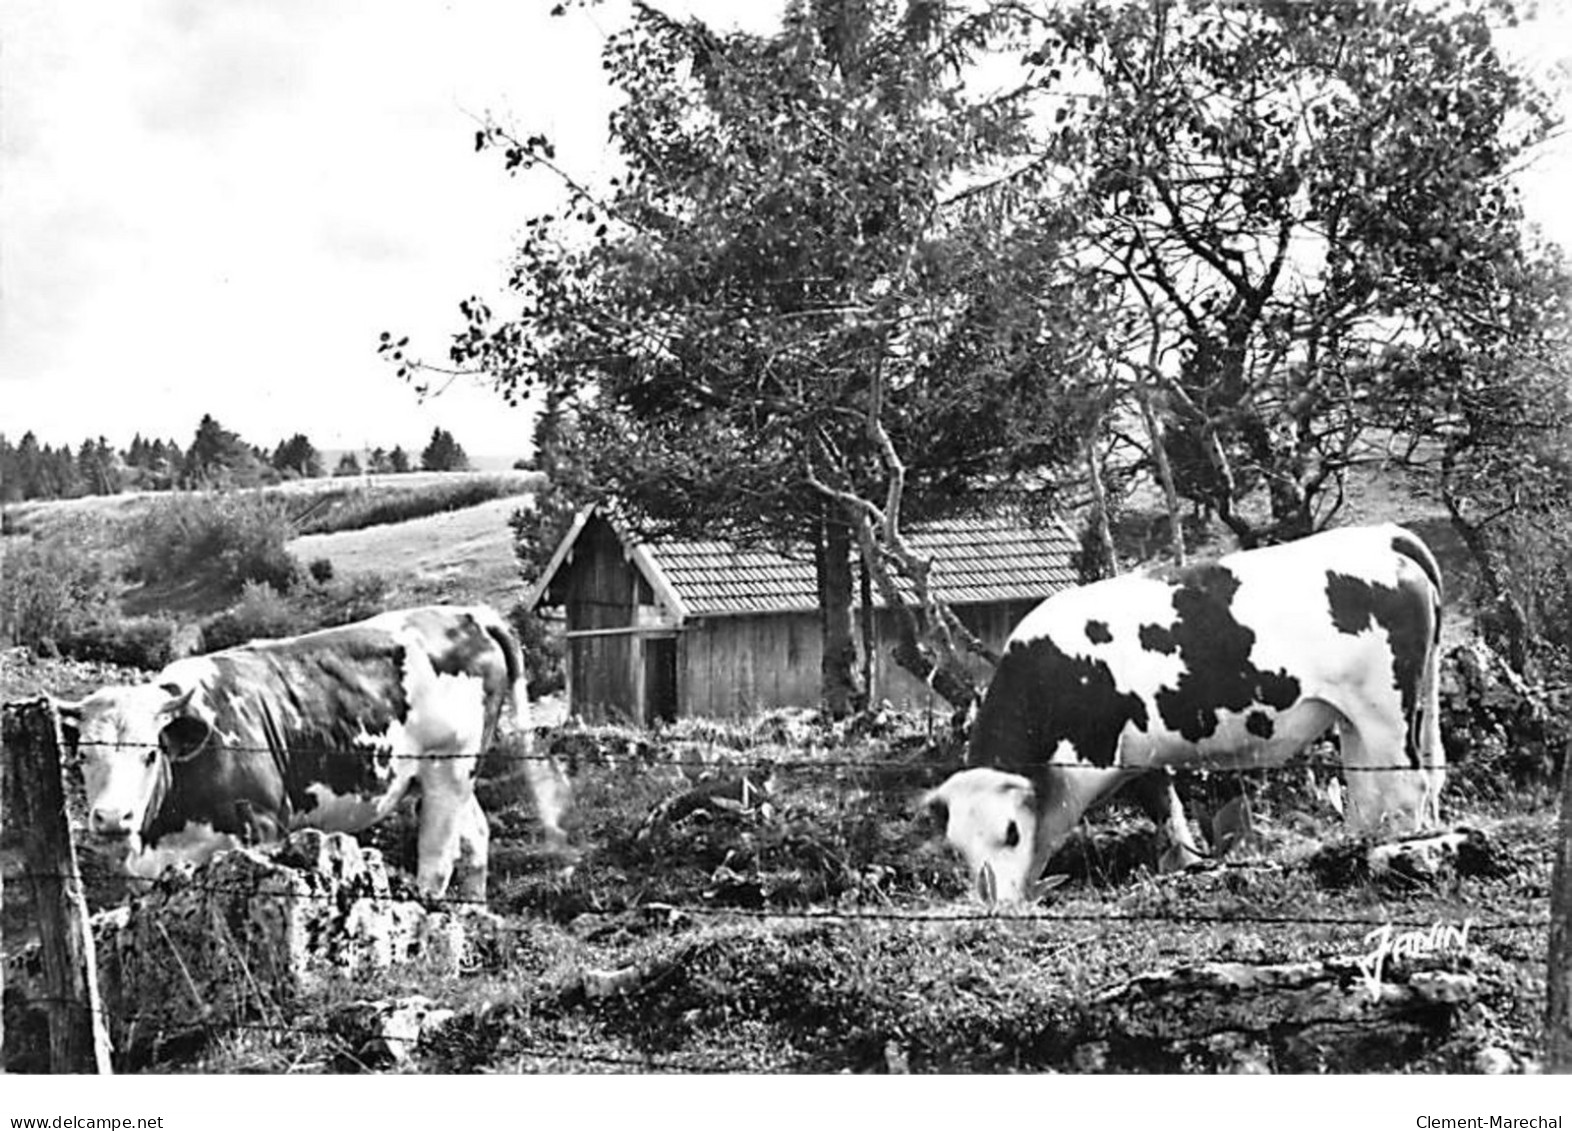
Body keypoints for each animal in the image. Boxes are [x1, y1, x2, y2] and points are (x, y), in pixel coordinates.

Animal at [55, 607, 572, 899]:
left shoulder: (263, 827)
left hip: (449, 768)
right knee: (477, 837)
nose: (112, 818)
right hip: (453, 776)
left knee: (437, 858)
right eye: (82, 758)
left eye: (149, 754)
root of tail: (469, 614)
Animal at [924, 525, 1439, 906]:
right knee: (1372, 789)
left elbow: (1055, 830)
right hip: (1358, 717)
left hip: (1386, 710)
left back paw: (1399, 851)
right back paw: (1356, 846)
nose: (996, 903)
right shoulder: (1142, 755)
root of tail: (1383, 536)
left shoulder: (1086, 762)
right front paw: (1187, 868)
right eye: (958, 846)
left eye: (1010, 833)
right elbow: (1167, 813)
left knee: (1408, 786)